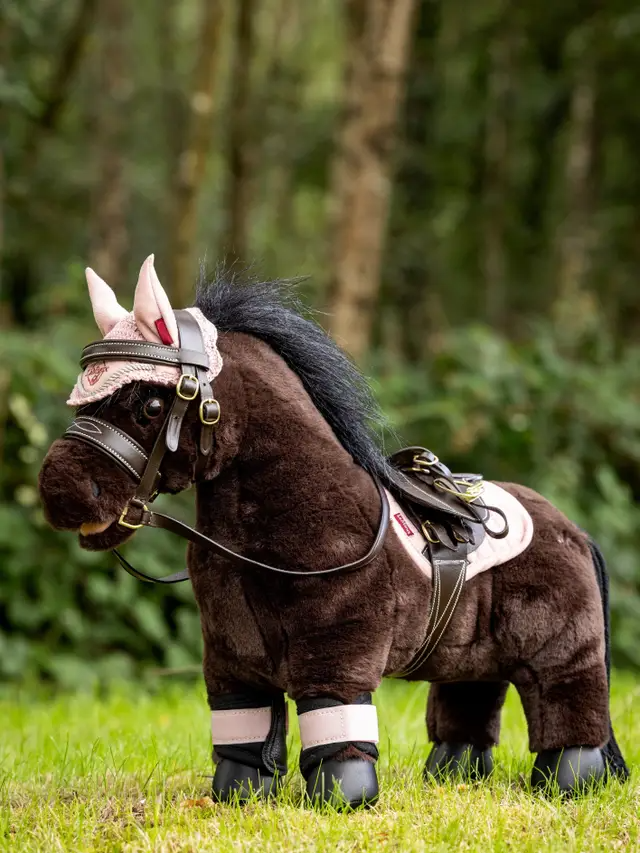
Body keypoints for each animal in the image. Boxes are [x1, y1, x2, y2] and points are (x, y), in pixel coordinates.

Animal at [38, 256, 629, 808]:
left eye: (152, 403)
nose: (56, 489)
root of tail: (573, 528)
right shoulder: (231, 655)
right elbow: (243, 733)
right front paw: (237, 796)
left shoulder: (336, 650)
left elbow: (333, 719)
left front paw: (345, 798)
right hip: (471, 657)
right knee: (470, 705)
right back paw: (453, 776)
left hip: (561, 651)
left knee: (569, 712)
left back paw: (566, 783)